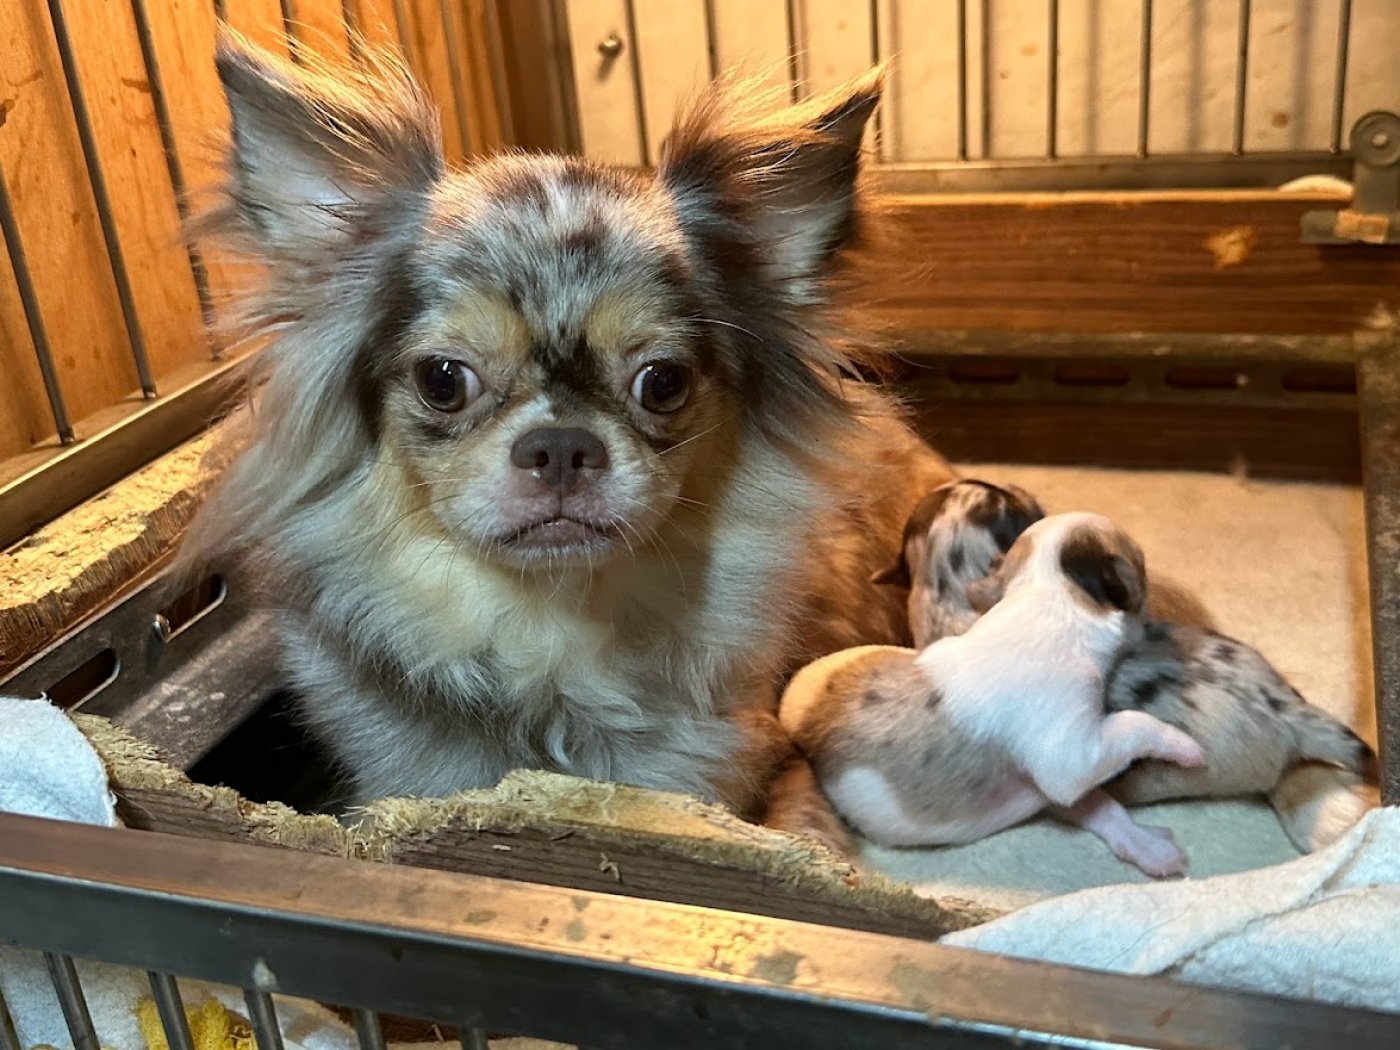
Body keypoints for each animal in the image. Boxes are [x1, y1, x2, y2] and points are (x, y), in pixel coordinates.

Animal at [781, 513, 1206, 877]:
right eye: (1142, 565)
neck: (1049, 597)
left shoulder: (1054, 786)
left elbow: (1099, 803)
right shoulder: (1069, 759)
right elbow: (1133, 724)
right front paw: (1185, 746)